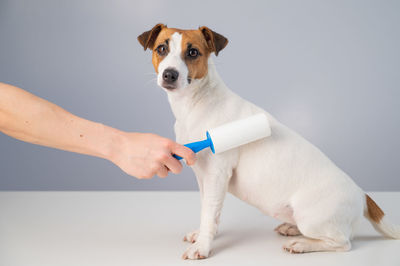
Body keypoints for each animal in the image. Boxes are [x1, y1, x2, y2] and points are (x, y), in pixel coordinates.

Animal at [138, 23, 400, 258]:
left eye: (193, 52)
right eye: (161, 48)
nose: (169, 74)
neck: (198, 102)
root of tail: (362, 195)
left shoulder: (217, 175)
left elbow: (209, 214)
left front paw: (202, 247)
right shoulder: (204, 178)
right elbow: (209, 213)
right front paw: (202, 235)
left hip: (312, 217)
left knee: (342, 243)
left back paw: (302, 244)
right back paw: (292, 229)